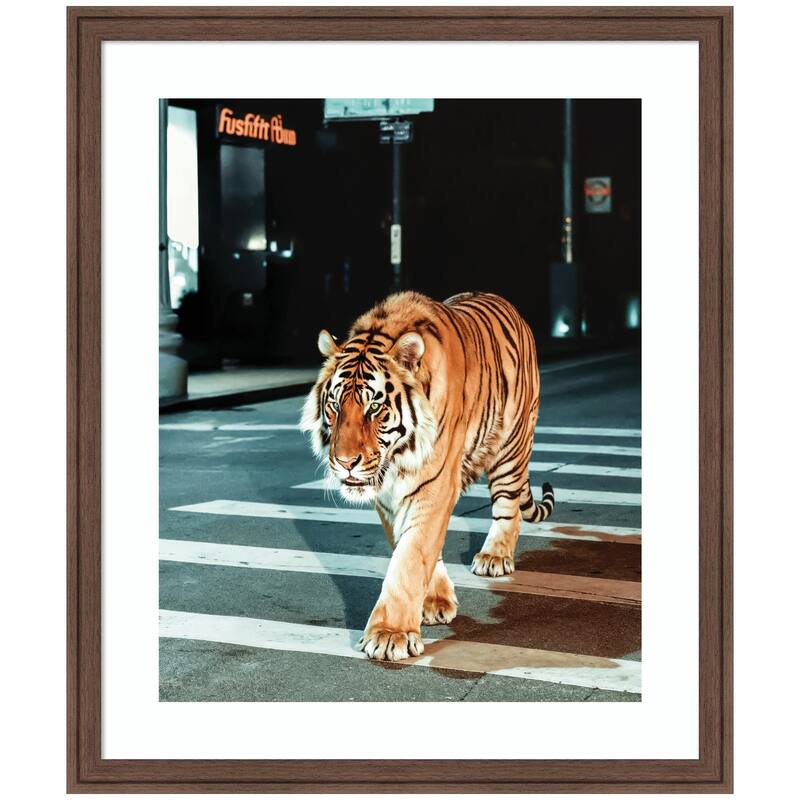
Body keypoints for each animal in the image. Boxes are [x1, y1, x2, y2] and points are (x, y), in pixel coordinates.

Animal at [300, 290, 555, 662]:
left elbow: (411, 556)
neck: (397, 458)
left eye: (374, 407)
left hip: (511, 445)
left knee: (508, 507)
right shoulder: (388, 496)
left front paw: (389, 634)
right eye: (334, 405)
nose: (346, 462)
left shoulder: (434, 485)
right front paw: (434, 602)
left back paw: (494, 556)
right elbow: (413, 547)